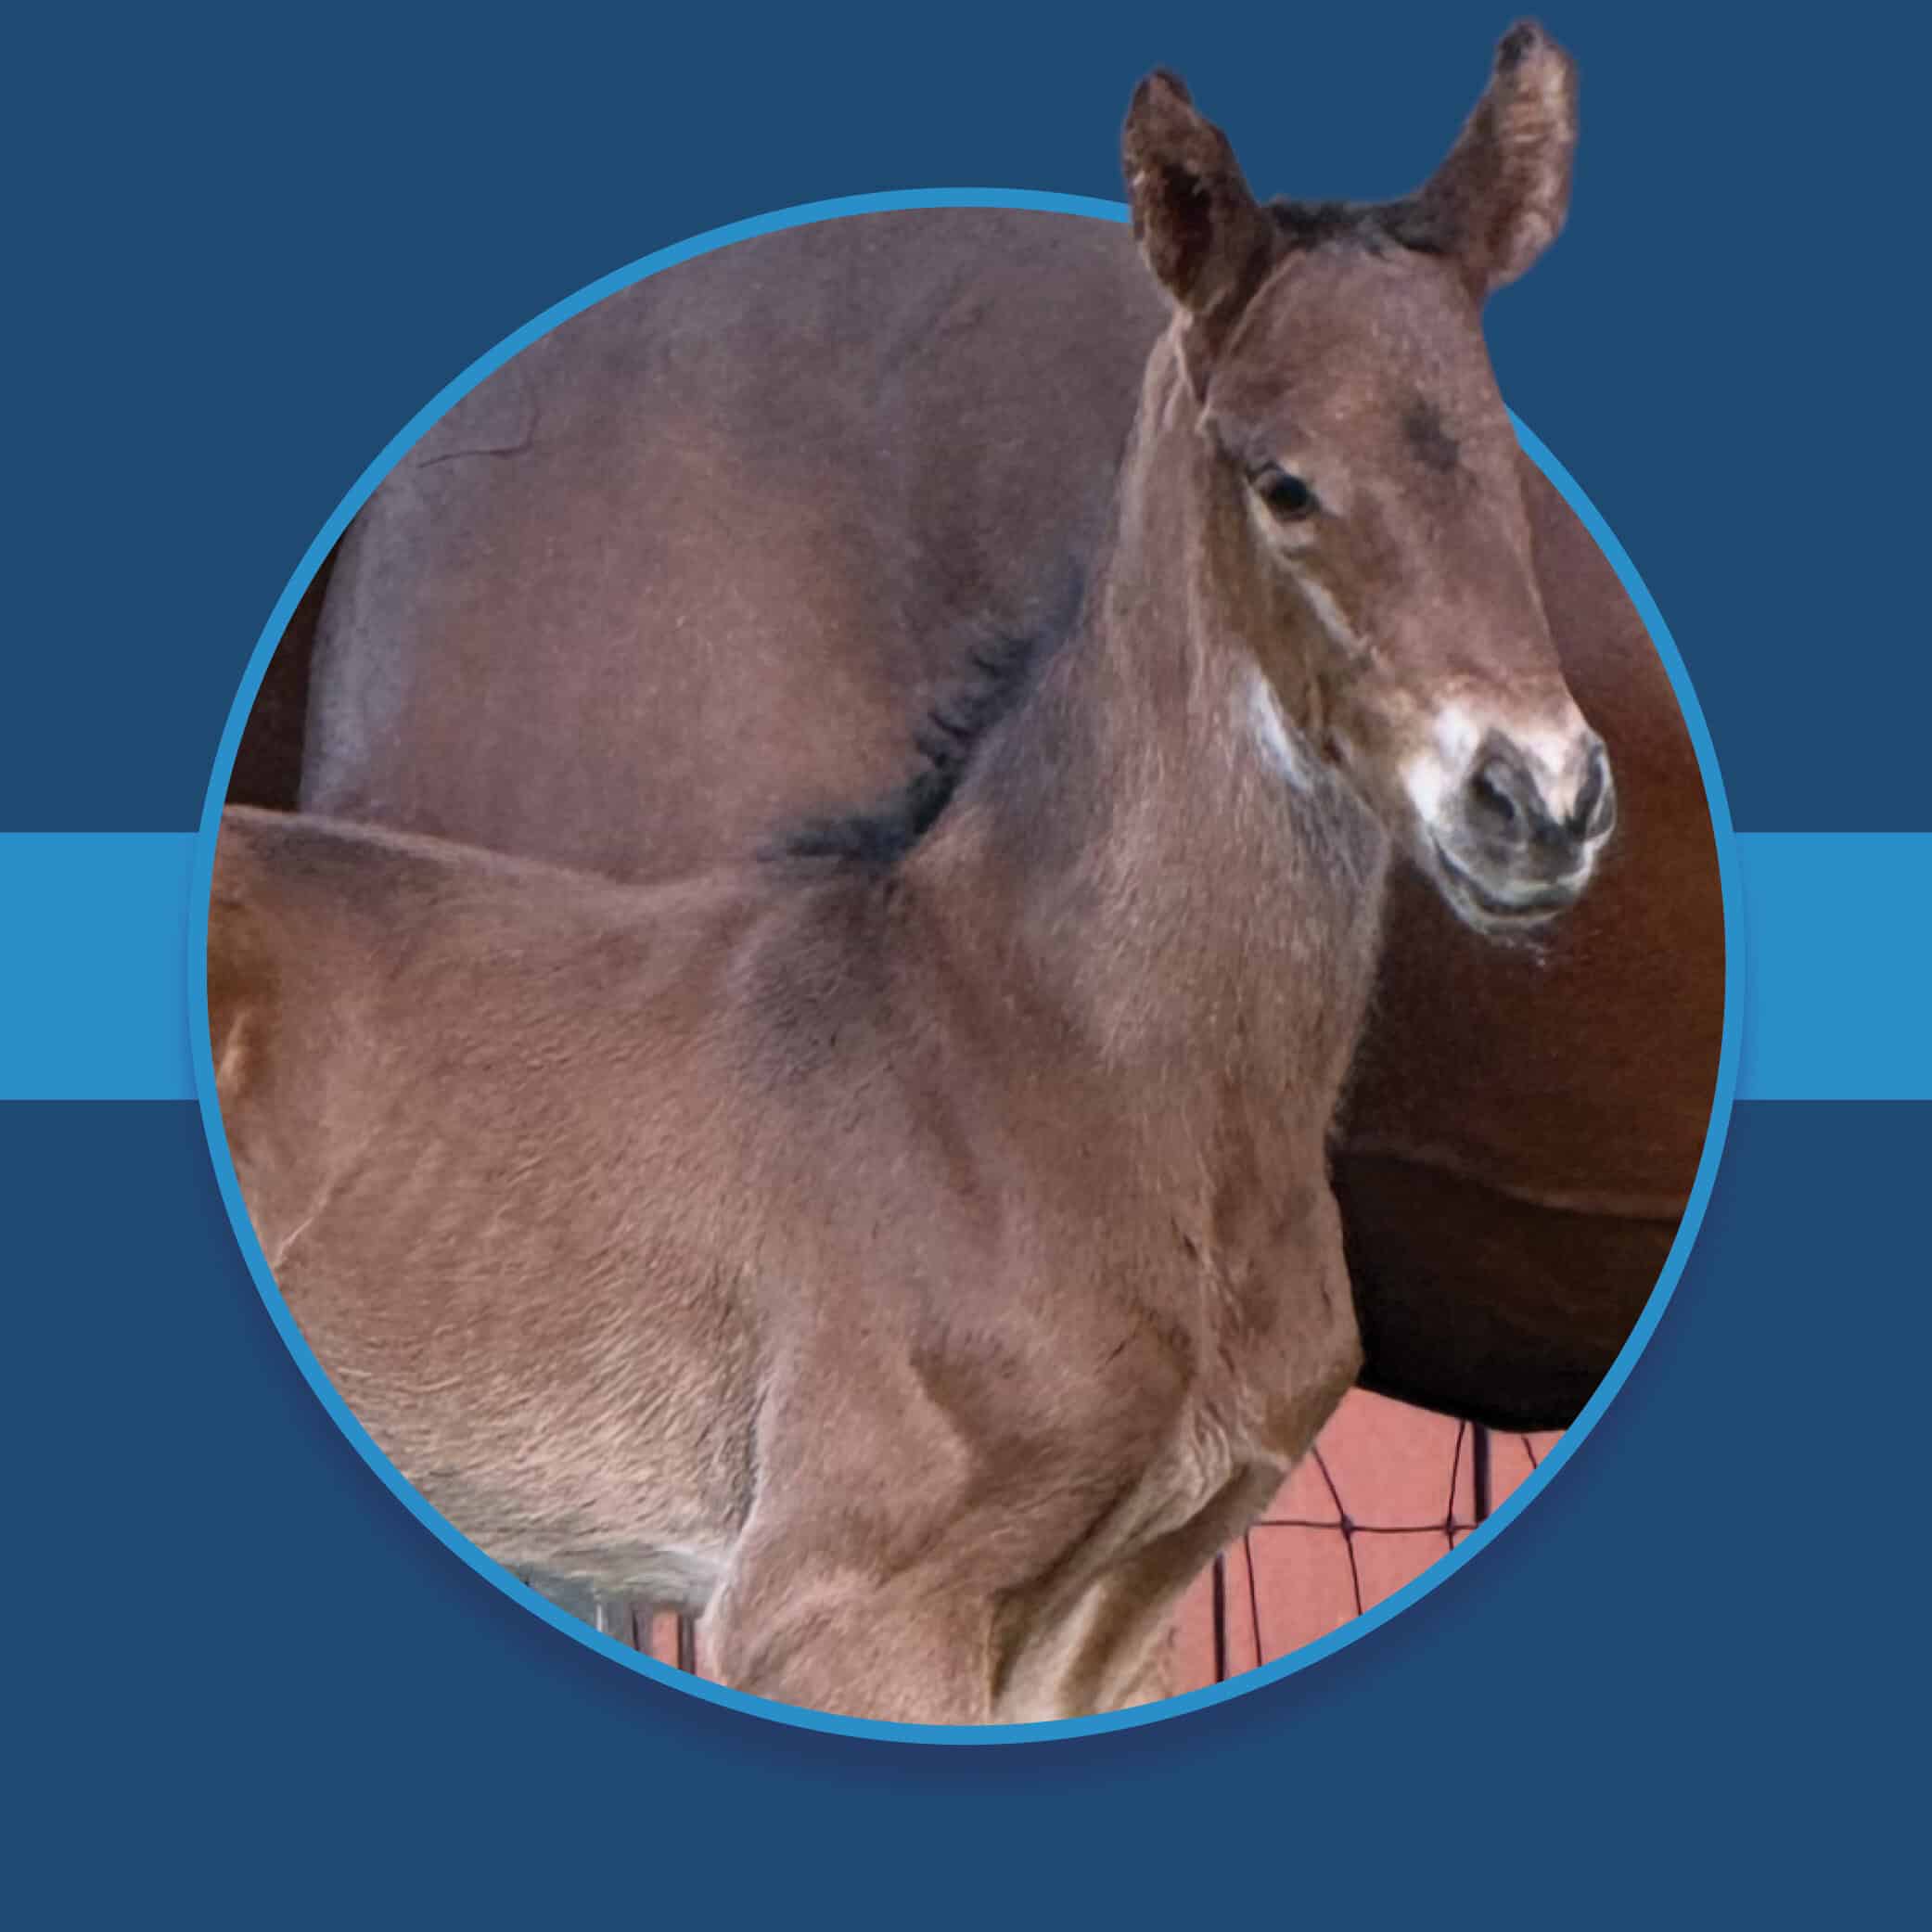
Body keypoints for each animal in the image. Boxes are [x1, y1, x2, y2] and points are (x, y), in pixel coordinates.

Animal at [212, 32, 1616, 1722]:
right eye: (1279, 481)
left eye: (1502, 464)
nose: (1535, 799)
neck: (1038, 1059)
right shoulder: (841, 1597)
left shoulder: (1113, 1614)